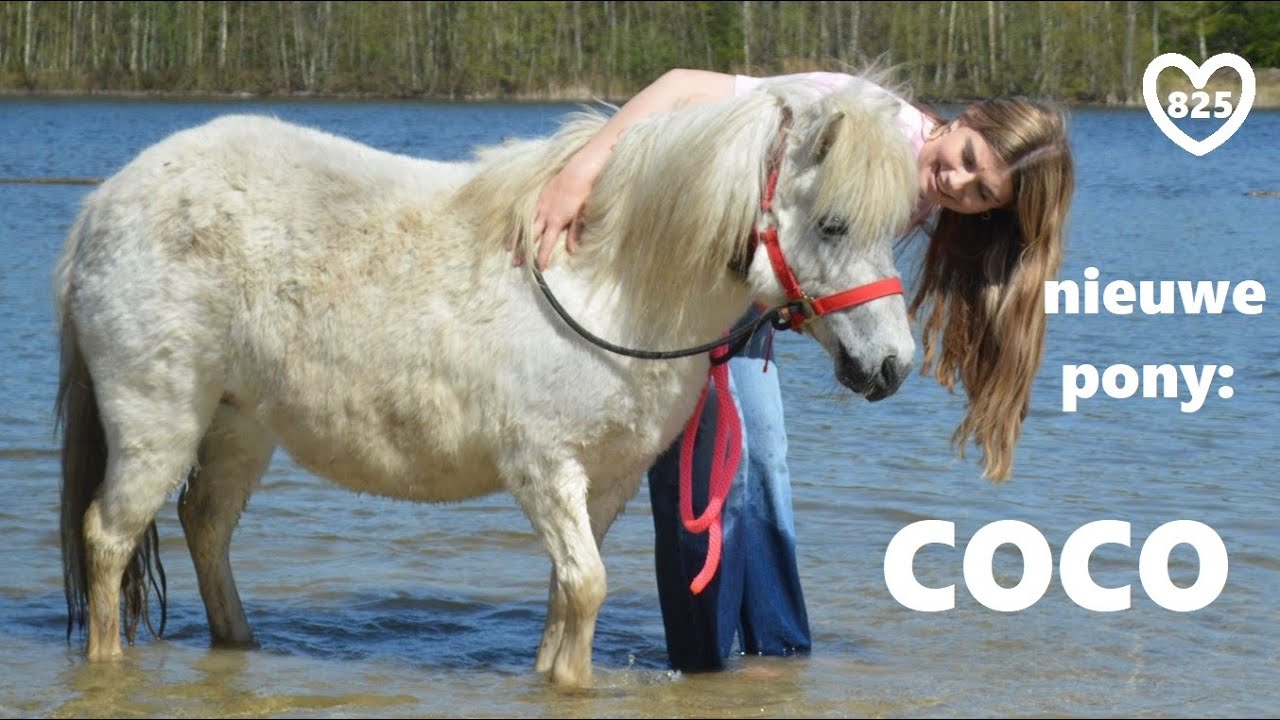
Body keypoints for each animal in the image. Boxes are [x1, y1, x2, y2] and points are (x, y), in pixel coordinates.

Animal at [54, 76, 919, 687]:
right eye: (834, 224)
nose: (892, 366)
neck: (609, 286)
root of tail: (106, 203)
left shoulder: (605, 481)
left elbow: (566, 593)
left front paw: (550, 670)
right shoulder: (543, 470)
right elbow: (586, 586)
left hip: (238, 423)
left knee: (205, 524)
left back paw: (241, 642)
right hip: (157, 420)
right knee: (108, 536)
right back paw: (109, 664)